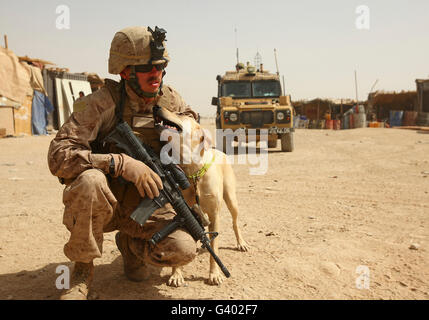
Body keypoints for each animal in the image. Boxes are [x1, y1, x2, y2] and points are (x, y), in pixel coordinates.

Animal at [153, 106, 247, 286]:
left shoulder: (215, 215)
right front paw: (176, 274)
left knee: (235, 223)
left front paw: (214, 274)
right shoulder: (182, 212)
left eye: (181, 114)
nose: (156, 106)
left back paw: (241, 243)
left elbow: (214, 249)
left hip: (231, 199)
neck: (193, 172)